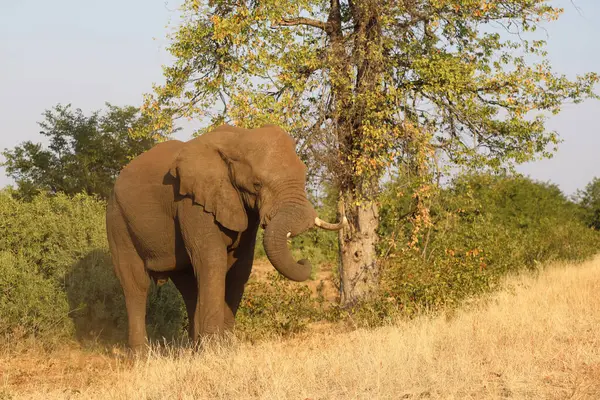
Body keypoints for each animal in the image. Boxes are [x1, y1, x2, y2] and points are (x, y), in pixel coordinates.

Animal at [105, 123, 344, 352]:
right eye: (257, 184)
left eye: (304, 176)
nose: (304, 260)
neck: (237, 139)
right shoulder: (192, 202)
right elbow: (213, 261)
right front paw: (216, 351)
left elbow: (240, 268)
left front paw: (226, 348)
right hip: (118, 221)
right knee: (136, 284)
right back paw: (142, 358)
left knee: (189, 285)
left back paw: (195, 350)